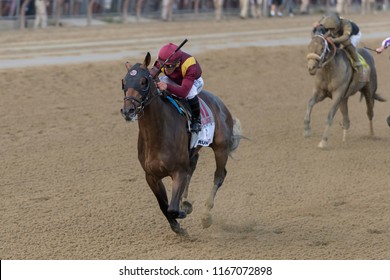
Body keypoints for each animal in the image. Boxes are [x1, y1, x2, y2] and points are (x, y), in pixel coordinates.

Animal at [119, 52, 241, 234]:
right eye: (124, 82)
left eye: (143, 81)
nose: (128, 111)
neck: (157, 135)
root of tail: (220, 103)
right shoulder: (151, 176)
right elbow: (163, 206)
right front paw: (177, 224)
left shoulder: (178, 172)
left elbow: (172, 208)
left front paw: (181, 214)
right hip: (194, 151)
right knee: (193, 166)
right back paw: (186, 203)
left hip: (221, 148)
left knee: (219, 176)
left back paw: (206, 215)